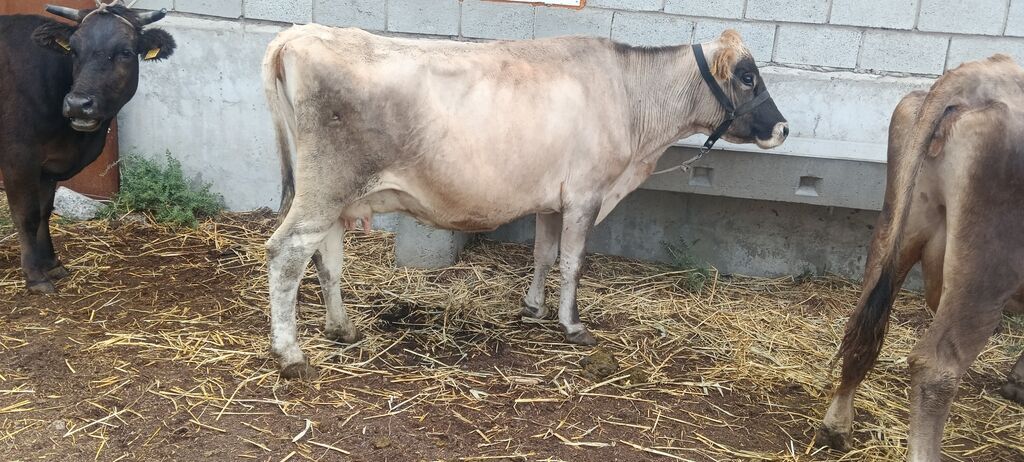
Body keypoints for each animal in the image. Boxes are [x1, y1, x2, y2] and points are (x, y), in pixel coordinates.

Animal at [0, 1, 175, 293]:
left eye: (125, 52)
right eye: (74, 50)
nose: (78, 104)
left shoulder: (47, 167)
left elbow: (45, 212)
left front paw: (52, 264)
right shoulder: (18, 160)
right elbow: (27, 216)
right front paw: (35, 276)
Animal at [262, 26, 789, 379]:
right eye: (747, 76)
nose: (783, 128)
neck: (631, 99)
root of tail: (301, 34)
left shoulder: (552, 200)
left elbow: (544, 254)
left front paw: (533, 307)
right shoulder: (586, 195)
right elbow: (573, 262)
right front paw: (572, 325)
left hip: (332, 194)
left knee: (326, 258)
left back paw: (342, 328)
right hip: (326, 188)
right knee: (286, 254)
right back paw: (290, 354)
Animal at [818, 54, 1024, 461]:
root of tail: (981, 74)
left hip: (898, 228)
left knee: (861, 327)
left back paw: (837, 426)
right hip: (987, 267)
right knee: (936, 368)